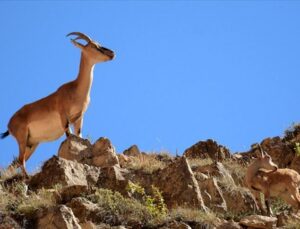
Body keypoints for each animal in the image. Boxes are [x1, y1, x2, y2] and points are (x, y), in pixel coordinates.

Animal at [0, 31, 115, 177]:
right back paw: (27, 177)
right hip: (22, 138)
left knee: (16, 162)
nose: (112, 53)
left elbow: (78, 136)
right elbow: (69, 136)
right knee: (20, 160)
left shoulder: (79, 118)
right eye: (94, 46)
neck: (75, 89)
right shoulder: (63, 116)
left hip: (31, 144)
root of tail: (9, 124)